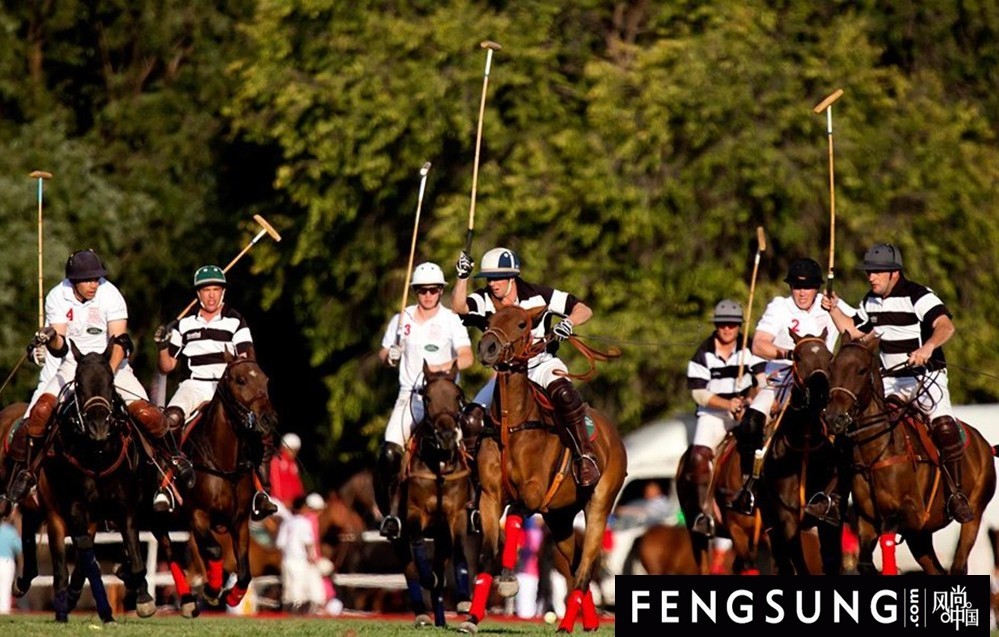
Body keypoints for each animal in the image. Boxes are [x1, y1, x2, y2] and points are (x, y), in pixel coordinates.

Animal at [150, 350, 280, 612]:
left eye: (266, 380)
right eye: (241, 380)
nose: (268, 419)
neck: (225, 464)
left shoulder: (239, 521)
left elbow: (244, 572)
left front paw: (232, 596)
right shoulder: (197, 514)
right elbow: (214, 549)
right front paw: (211, 590)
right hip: (154, 517)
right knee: (169, 550)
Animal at [390, 362, 472, 628]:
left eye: (458, 397)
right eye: (426, 398)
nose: (446, 436)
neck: (440, 466)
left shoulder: (456, 515)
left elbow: (460, 551)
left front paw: (464, 600)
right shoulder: (415, 512)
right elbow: (417, 543)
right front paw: (429, 578)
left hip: (441, 535)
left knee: (443, 559)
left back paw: (440, 618)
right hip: (397, 535)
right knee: (409, 566)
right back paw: (423, 614)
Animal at [460, 306, 624, 632]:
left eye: (523, 323)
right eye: (488, 321)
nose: (488, 348)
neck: (513, 423)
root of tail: (613, 434)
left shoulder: (534, 495)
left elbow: (514, 517)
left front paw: (508, 578)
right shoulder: (490, 497)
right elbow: (487, 552)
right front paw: (471, 618)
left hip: (599, 504)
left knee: (585, 567)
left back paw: (566, 624)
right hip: (560, 520)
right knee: (573, 564)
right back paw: (587, 621)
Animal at [824, 330, 996, 572]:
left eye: (861, 370)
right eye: (832, 368)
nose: (833, 419)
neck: (878, 452)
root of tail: (985, 445)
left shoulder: (911, 514)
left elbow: (888, 536)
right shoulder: (867, 520)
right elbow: (865, 563)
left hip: (975, 513)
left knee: (959, 564)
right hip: (920, 537)